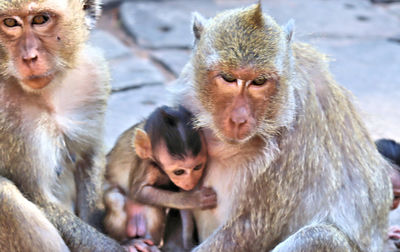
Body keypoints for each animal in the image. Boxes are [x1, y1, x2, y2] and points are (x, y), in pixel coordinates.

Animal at [103, 105, 216, 250]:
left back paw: (151, 244)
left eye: (197, 167)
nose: (190, 182)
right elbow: (138, 192)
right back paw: (126, 242)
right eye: (179, 172)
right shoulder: (146, 165)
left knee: (153, 206)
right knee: (115, 199)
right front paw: (193, 199)